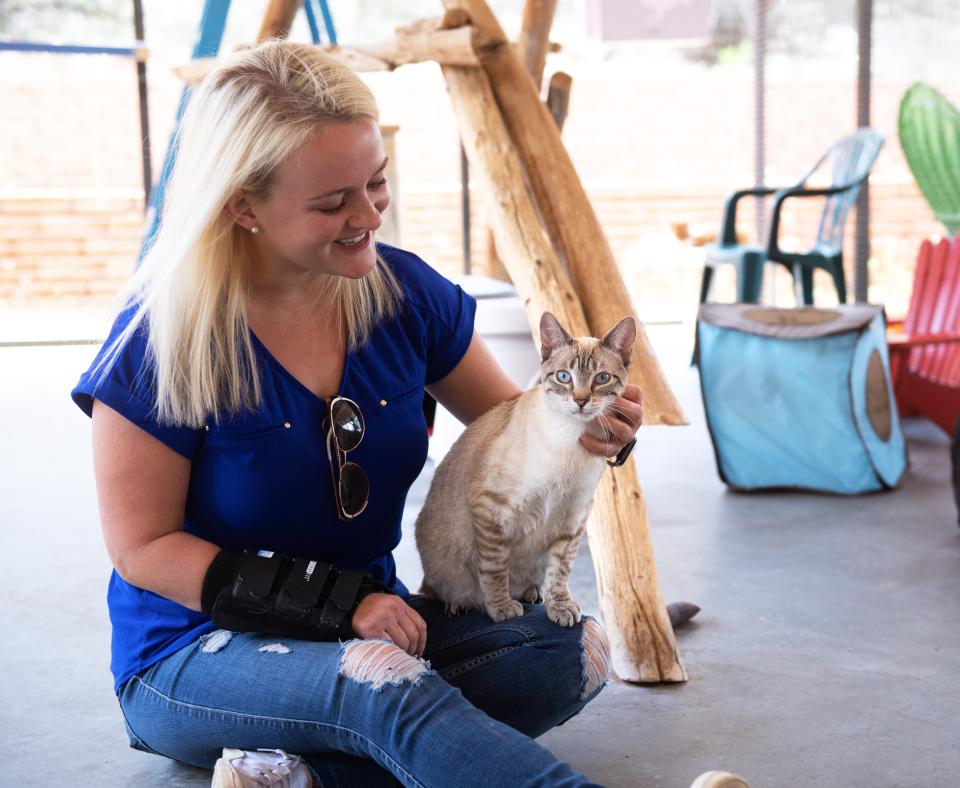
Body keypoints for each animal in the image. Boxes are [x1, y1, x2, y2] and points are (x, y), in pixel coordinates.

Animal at [414, 310, 632, 624]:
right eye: (564, 377)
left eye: (601, 378)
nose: (580, 401)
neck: (570, 439)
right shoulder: (492, 507)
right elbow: (494, 569)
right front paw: (501, 609)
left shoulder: (573, 518)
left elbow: (560, 572)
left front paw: (560, 607)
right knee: (435, 588)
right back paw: (460, 603)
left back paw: (531, 593)